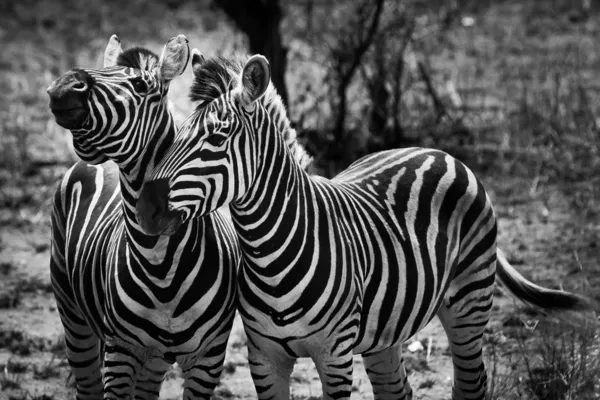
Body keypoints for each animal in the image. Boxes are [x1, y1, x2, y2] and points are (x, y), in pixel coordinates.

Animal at [45, 36, 240, 398]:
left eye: (139, 85)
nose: (64, 87)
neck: (160, 265)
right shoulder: (120, 351)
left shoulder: (208, 358)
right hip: (71, 310)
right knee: (87, 385)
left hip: (154, 357)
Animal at [134, 54, 592, 400]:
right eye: (177, 133)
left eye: (217, 138)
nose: (145, 210)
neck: (269, 252)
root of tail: (438, 151)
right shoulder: (264, 359)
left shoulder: (335, 357)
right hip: (386, 332)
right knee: (399, 391)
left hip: (469, 303)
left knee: (471, 383)